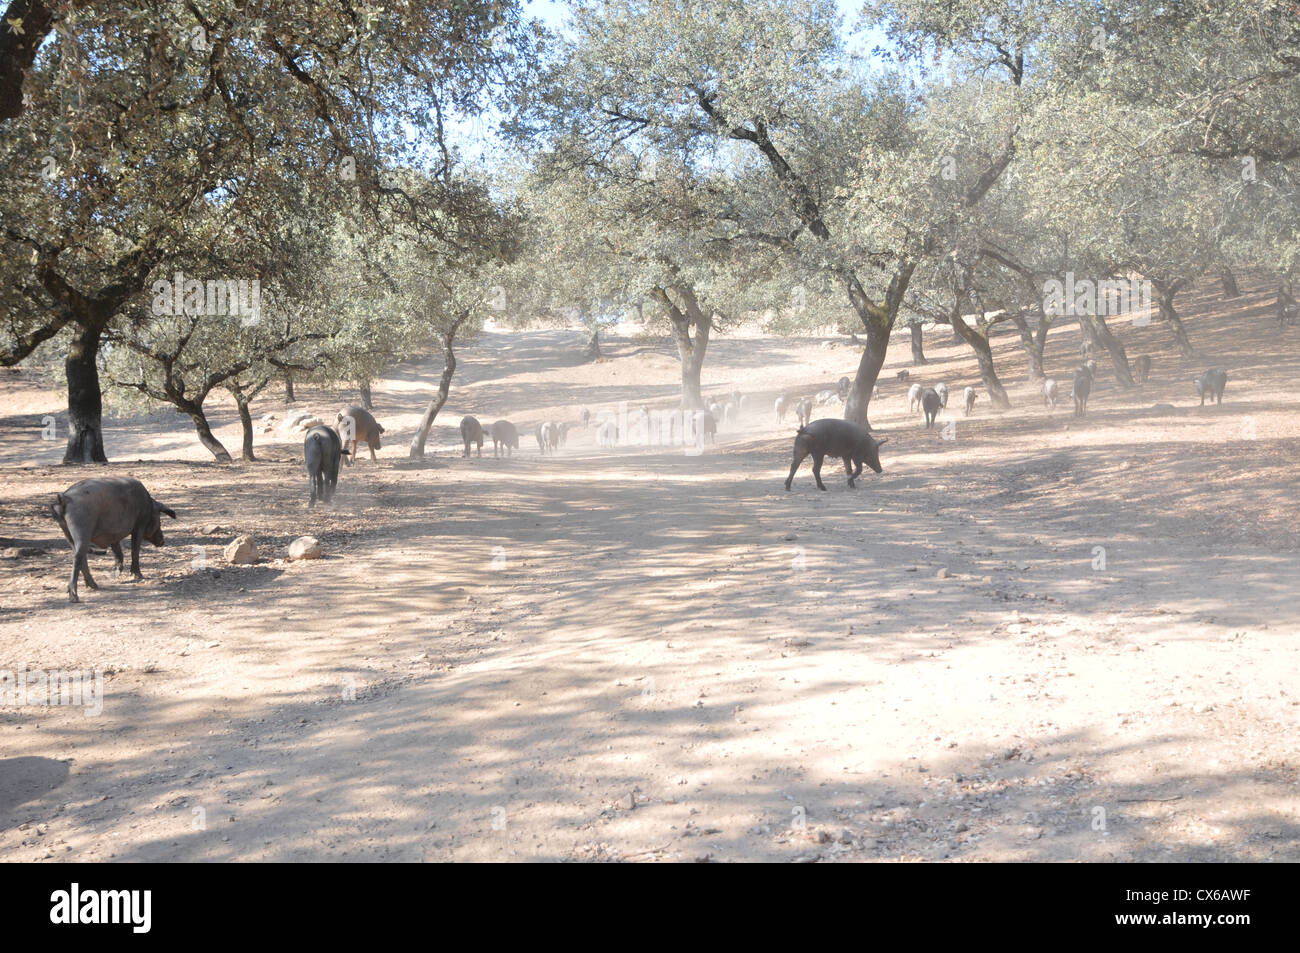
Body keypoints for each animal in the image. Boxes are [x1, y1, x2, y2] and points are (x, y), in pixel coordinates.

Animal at [50, 475, 176, 603]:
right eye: (159, 519)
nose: (162, 541)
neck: (149, 506)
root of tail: (65, 498)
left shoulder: (113, 535)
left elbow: (118, 552)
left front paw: (114, 575)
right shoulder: (139, 525)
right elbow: (135, 550)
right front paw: (138, 576)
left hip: (67, 532)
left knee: (80, 557)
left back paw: (94, 586)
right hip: (81, 528)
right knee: (78, 558)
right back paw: (74, 597)